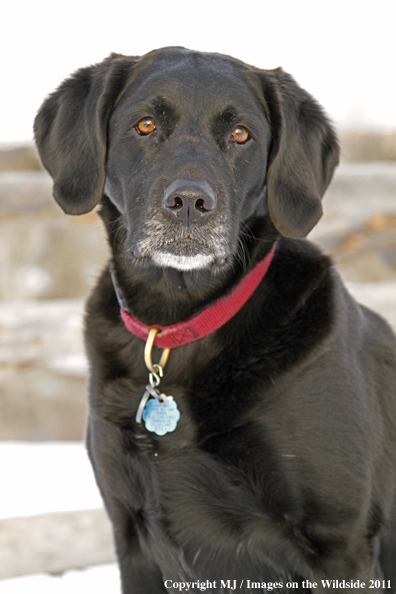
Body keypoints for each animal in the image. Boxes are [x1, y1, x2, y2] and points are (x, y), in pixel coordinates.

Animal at [34, 48, 396, 588]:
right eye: (145, 126)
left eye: (241, 134)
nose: (189, 203)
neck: (178, 324)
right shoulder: (131, 537)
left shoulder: (342, 543)